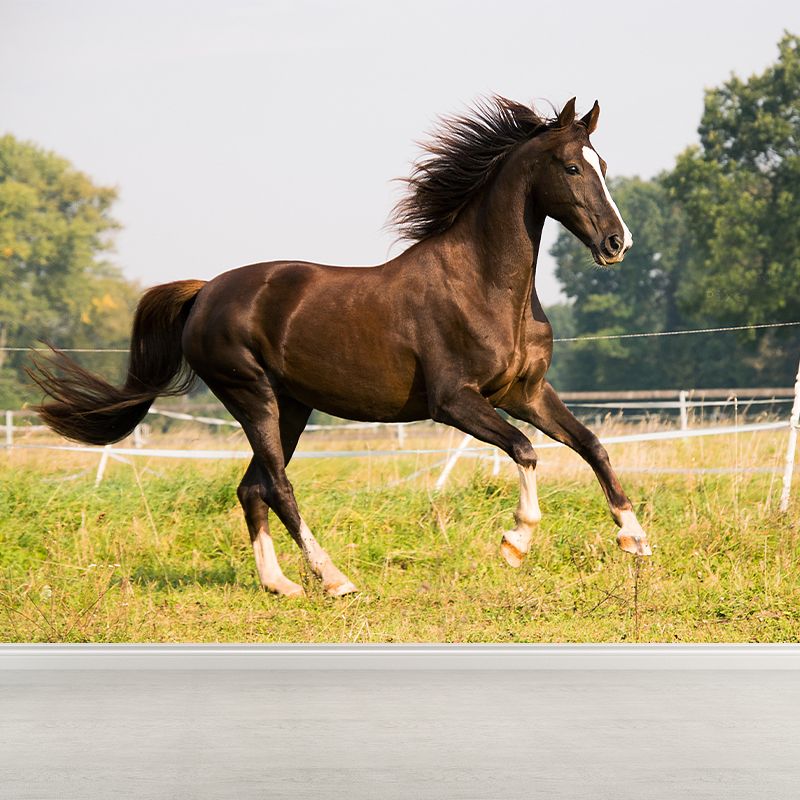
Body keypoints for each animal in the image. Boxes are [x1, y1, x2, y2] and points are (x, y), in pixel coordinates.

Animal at [30, 96, 651, 599]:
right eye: (571, 166)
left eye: (602, 165)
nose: (616, 243)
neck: (484, 286)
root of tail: (205, 292)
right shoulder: (455, 402)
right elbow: (525, 450)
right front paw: (516, 542)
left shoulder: (526, 392)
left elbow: (592, 445)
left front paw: (635, 538)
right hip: (252, 396)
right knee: (277, 486)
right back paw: (334, 579)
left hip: (292, 407)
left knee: (251, 487)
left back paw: (280, 585)